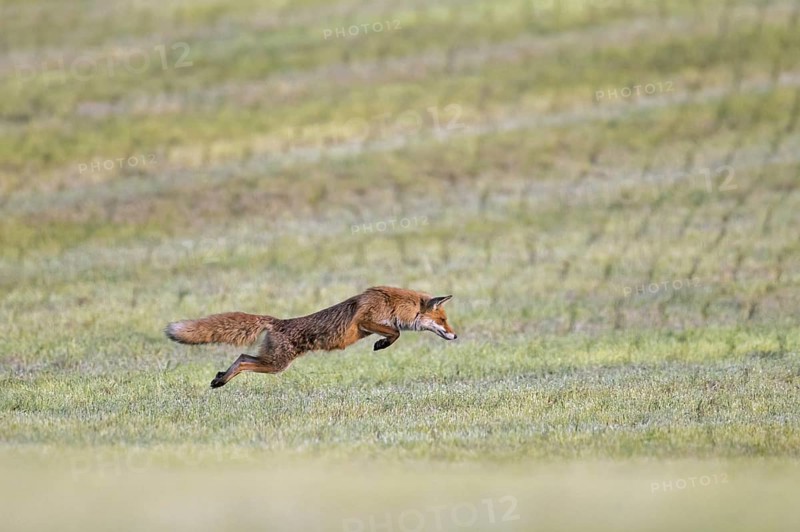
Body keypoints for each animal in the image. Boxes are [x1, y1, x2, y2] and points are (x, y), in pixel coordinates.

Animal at [165, 286, 457, 388]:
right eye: (443, 320)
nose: (455, 335)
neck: (394, 303)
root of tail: (278, 322)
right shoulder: (366, 320)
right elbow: (394, 333)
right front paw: (382, 344)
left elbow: (395, 332)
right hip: (276, 364)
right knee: (243, 359)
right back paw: (221, 381)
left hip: (272, 361)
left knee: (241, 355)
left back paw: (220, 378)